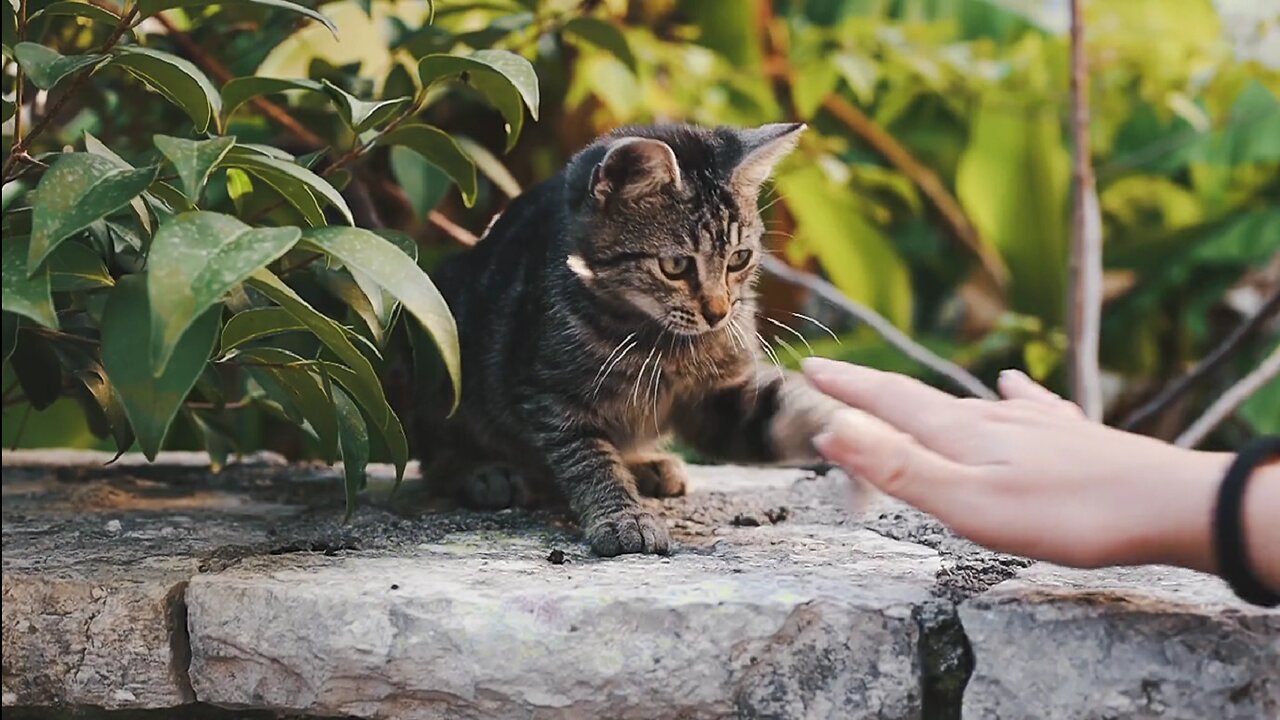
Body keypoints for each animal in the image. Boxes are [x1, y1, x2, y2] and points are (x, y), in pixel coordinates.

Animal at [414, 121, 844, 556]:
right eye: (675, 265)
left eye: (739, 258)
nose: (718, 313)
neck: (667, 344)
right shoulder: (549, 396)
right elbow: (590, 459)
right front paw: (624, 516)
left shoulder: (718, 397)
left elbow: (786, 413)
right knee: (435, 447)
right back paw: (483, 473)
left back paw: (648, 465)